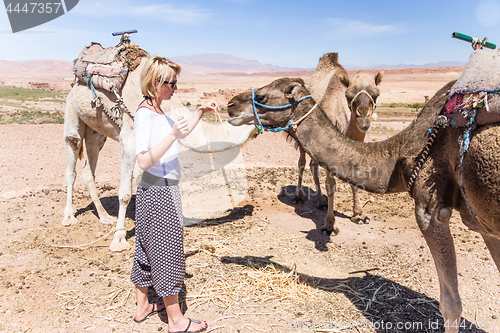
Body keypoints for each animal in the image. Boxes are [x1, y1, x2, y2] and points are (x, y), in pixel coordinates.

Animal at [63, 57, 256, 250]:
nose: (231, 104)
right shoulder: (130, 140)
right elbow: (125, 194)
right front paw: (119, 239)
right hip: (71, 109)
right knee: (72, 154)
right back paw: (69, 217)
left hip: (96, 131)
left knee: (89, 168)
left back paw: (104, 217)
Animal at [292, 52, 382, 233]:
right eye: (348, 95)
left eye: (376, 94)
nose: (363, 116)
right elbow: (330, 184)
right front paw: (329, 224)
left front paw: (359, 214)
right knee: (302, 162)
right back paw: (298, 197)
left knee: (313, 165)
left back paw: (321, 201)